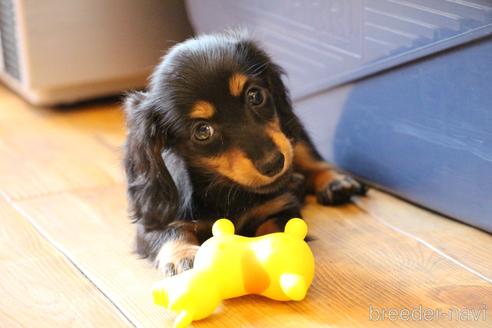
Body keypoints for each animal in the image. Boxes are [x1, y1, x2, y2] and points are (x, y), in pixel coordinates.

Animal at [125, 31, 368, 276]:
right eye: (202, 131)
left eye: (255, 96)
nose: (274, 163)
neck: (228, 191)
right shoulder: (154, 224)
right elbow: (171, 232)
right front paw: (183, 257)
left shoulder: (282, 208)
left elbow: (275, 227)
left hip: (292, 137)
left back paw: (335, 182)